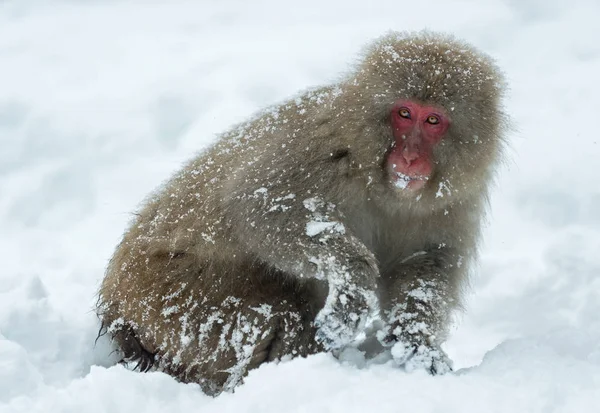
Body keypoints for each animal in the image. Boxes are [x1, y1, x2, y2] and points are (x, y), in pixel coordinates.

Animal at [97, 31, 506, 392]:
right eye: (404, 113)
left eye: (433, 120)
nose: (409, 157)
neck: (384, 185)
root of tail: (115, 299)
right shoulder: (322, 146)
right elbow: (257, 206)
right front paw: (354, 278)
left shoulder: (454, 201)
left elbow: (427, 263)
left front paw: (417, 343)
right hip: (168, 298)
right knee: (275, 316)